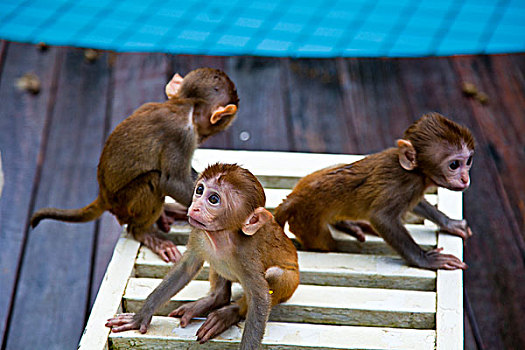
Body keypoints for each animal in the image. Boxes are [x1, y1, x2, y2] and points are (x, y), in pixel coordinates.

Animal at [29, 67, 238, 262]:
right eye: (208, 133)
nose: (203, 138)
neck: (183, 104)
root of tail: (103, 196)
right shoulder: (182, 135)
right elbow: (172, 182)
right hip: (124, 203)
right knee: (153, 181)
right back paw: (144, 232)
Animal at [105, 164, 298, 350]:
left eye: (213, 199)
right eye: (199, 189)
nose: (195, 206)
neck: (223, 237)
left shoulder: (247, 255)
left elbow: (260, 299)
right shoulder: (199, 233)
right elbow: (187, 267)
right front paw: (140, 317)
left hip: (292, 282)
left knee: (276, 275)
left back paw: (227, 314)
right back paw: (214, 300)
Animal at [274, 112, 474, 270]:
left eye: (468, 161)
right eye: (454, 165)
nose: (465, 178)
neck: (416, 172)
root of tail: (294, 197)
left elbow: (416, 204)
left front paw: (449, 223)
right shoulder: (403, 185)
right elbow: (381, 218)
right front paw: (425, 260)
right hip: (307, 221)